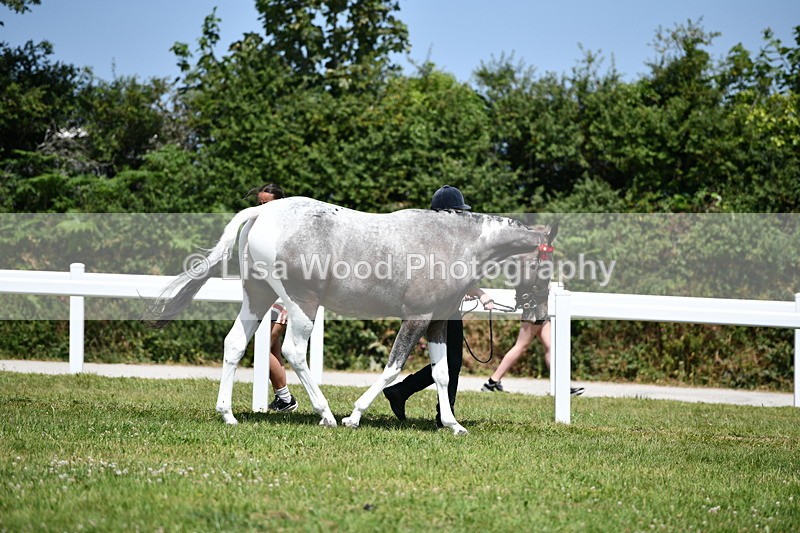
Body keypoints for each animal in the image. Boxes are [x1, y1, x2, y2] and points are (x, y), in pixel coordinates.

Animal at [148, 197, 557, 435]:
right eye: (546, 267)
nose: (538, 315)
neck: (452, 243)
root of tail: (263, 210)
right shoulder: (417, 318)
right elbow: (393, 367)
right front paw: (355, 416)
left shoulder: (439, 321)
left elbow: (441, 373)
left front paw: (453, 424)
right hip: (302, 304)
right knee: (293, 352)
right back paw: (327, 414)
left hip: (258, 297)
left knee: (234, 343)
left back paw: (228, 414)